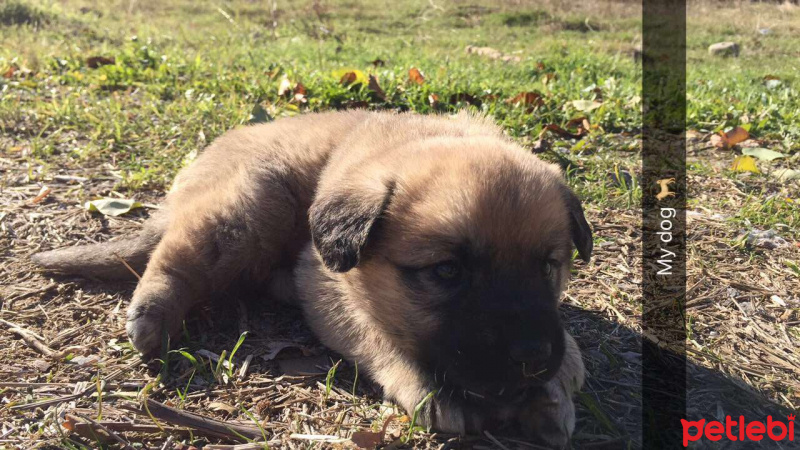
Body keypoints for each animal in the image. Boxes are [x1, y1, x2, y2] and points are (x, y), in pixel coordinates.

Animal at [34, 110, 592, 448]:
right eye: (447, 271)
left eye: (548, 266)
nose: (532, 357)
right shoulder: (325, 282)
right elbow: (381, 336)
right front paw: (432, 387)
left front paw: (556, 383)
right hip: (253, 200)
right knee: (176, 255)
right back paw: (152, 314)